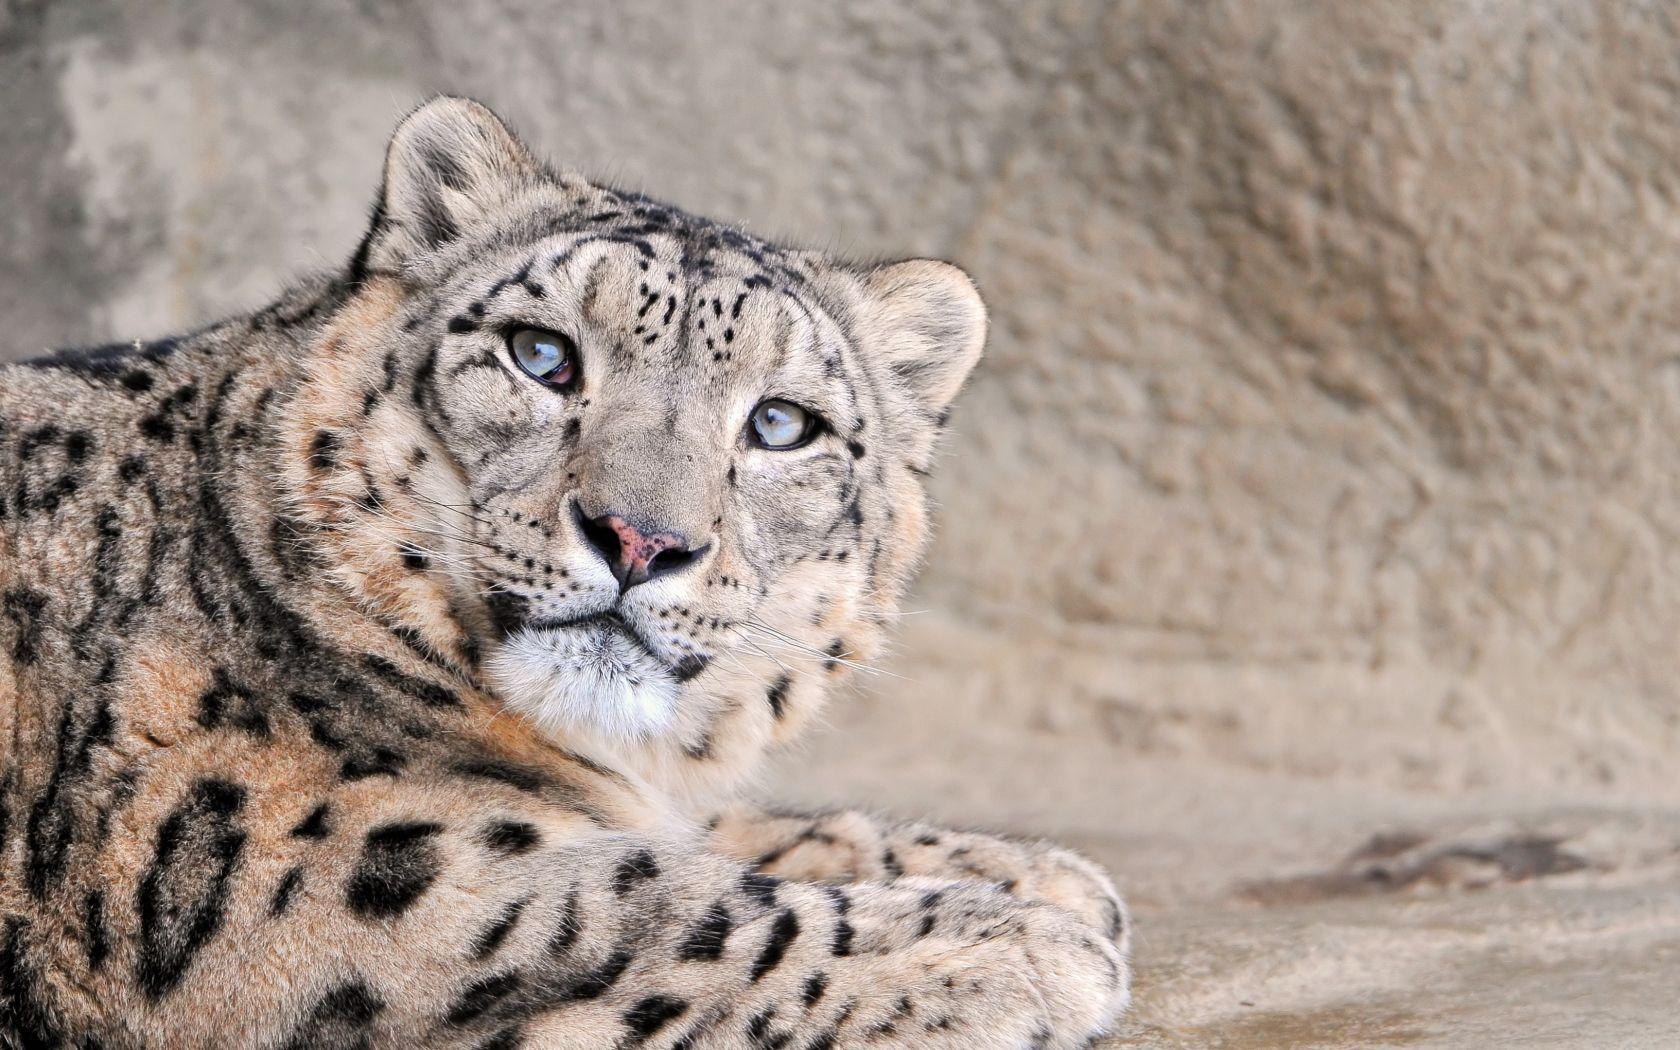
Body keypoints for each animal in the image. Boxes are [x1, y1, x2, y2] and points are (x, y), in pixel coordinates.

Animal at [0, 97, 1129, 1049]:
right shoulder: (302, 873)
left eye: (779, 423)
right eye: (540, 355)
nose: (639, 539)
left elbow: (714, 836)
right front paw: (1019, 941)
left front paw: (1032, 873)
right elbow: (641, 911)